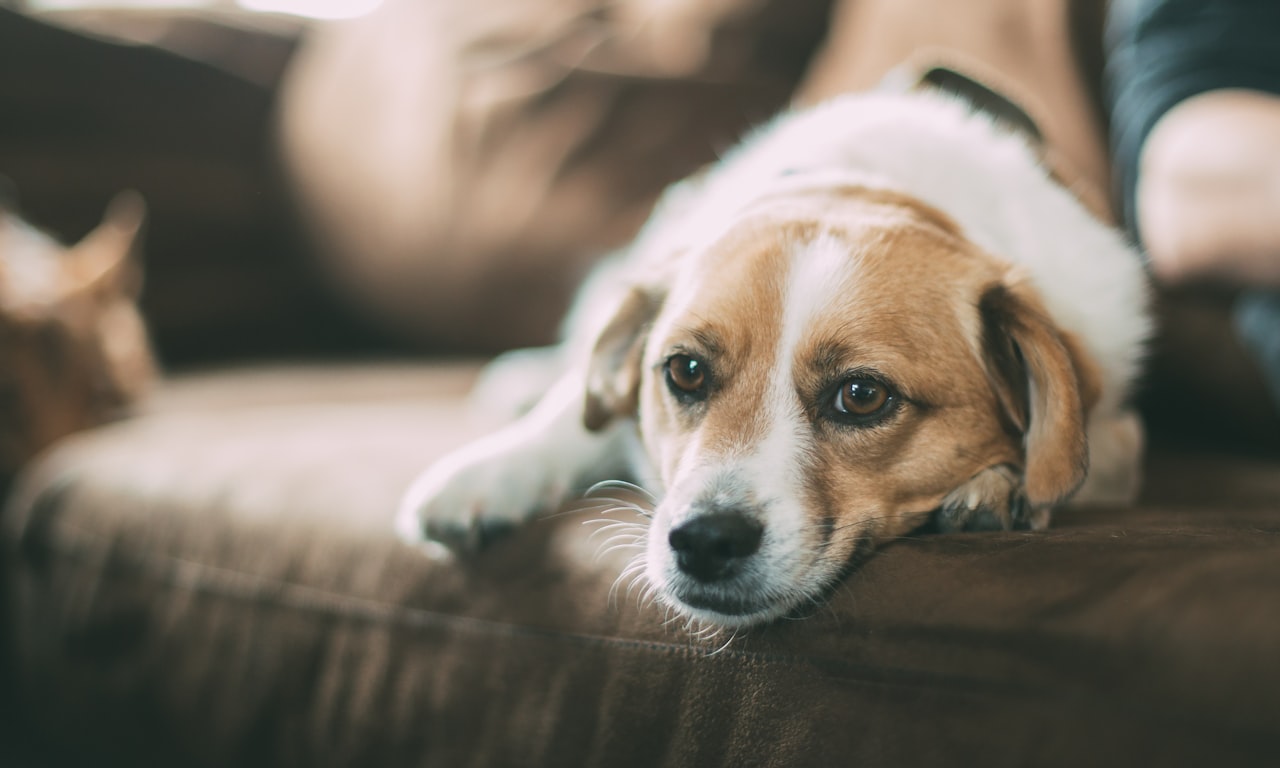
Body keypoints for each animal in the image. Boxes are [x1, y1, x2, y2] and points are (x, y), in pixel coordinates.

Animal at [391, 80, 1152, 627]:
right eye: (685, 371)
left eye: (863, 396)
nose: (703, 541)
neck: (864, 185)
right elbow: (571, 415)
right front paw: (491, 472)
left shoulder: (1116, 429)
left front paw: (1000, 485)